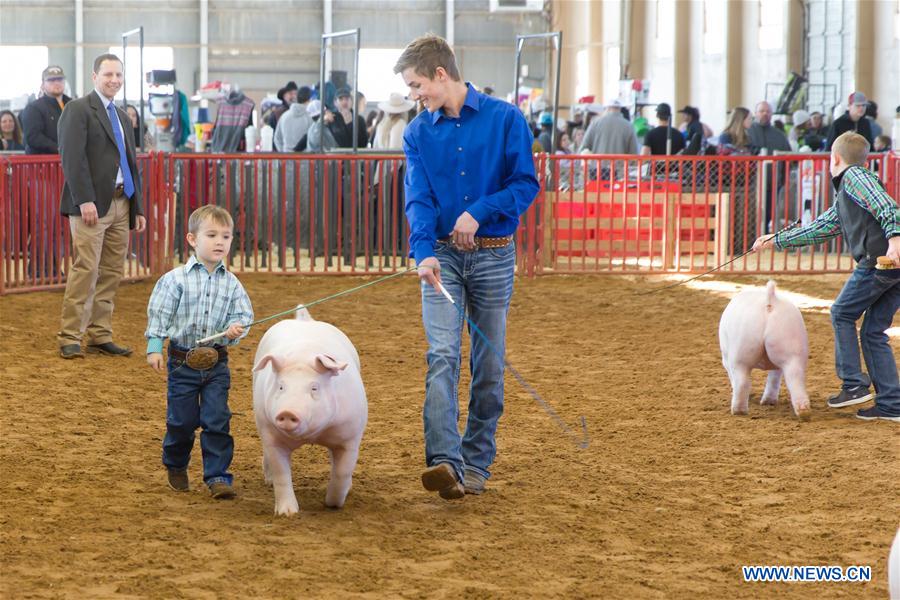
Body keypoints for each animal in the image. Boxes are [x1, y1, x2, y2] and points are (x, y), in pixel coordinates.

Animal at [251, 310, 368, 516]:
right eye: (281, 386)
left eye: (314, 388)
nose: (287, 412)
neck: (313, 436)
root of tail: (304, 320)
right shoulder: (272, 436)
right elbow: (282, 475)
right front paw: (287, 513)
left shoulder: (350, 436)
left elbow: (342, 472)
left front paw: (333, 504)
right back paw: (269, 481)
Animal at [720, 282, 812, 420]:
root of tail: (770, 300)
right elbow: (774, 377)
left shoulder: (726, 360)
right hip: (792, 346)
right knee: (795, 378)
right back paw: (803, 411)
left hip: (741, 352)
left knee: (742, 382)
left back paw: (738, 411)